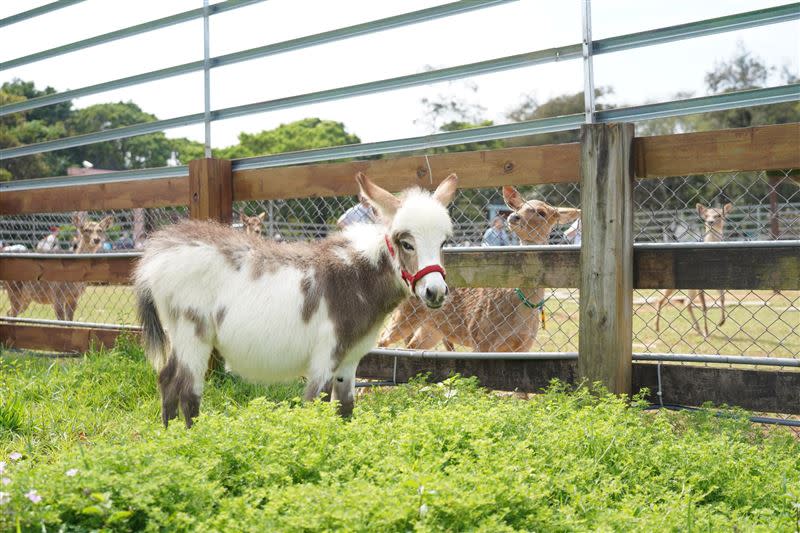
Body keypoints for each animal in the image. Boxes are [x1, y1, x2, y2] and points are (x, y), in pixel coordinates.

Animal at [135, 172, 460, 426]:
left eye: (444, 242)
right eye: (406, 243)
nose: (436, 292)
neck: (356, 276)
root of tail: (159, 252)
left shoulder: (349, 361)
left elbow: (346, 410)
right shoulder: (324, 359)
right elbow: (315, 408)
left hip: (181, 336)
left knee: (167, 380)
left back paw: (169, 439)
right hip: (193, 334)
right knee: (189, 394)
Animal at [378, 187, 580, 354]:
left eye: (542, 212)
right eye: (520, 206)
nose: (514, 217)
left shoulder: (524, 345)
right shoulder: (481, 336)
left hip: (431, 329)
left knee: (412, 346)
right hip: (404, 315)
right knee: (382, 340)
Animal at [656, 203, 732, 336]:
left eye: (719, 215)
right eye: (706, 215)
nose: (710, 222)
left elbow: (722, 298)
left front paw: (721, 322)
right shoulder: (700, 283)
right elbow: (704, 306)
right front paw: (707, 332)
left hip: (691, 288)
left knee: (687, 303)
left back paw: (698, 329)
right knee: (660, 300)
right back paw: (657, 328)